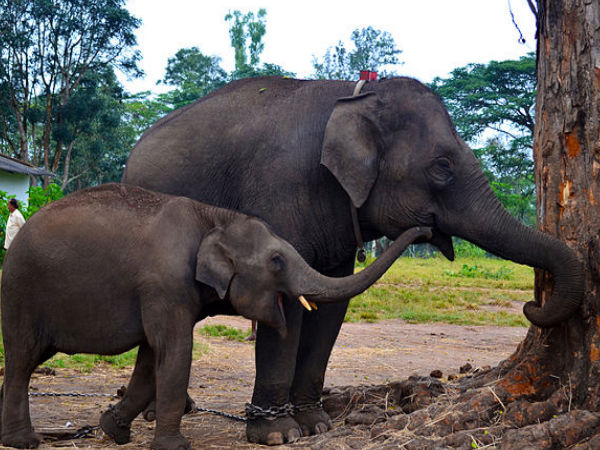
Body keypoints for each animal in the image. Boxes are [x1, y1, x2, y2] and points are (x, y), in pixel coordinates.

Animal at [1, 184, 432, 450]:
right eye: (277, 261)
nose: (425, 228)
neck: (214, 218)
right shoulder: (164, 285)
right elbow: (174, 352)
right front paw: (175, 446)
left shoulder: (159, 294)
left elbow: (150, 360)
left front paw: (113, 430)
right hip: (20, 292)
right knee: (22, 359)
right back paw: (24, 441)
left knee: (27, 360)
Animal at [124, 75, 584, 444]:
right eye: (442, 166)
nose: (533, 303)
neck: (355, 94)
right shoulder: (279, 192)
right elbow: (286, 302)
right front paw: (278, 435)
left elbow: (332, 306)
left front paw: (316, 425)